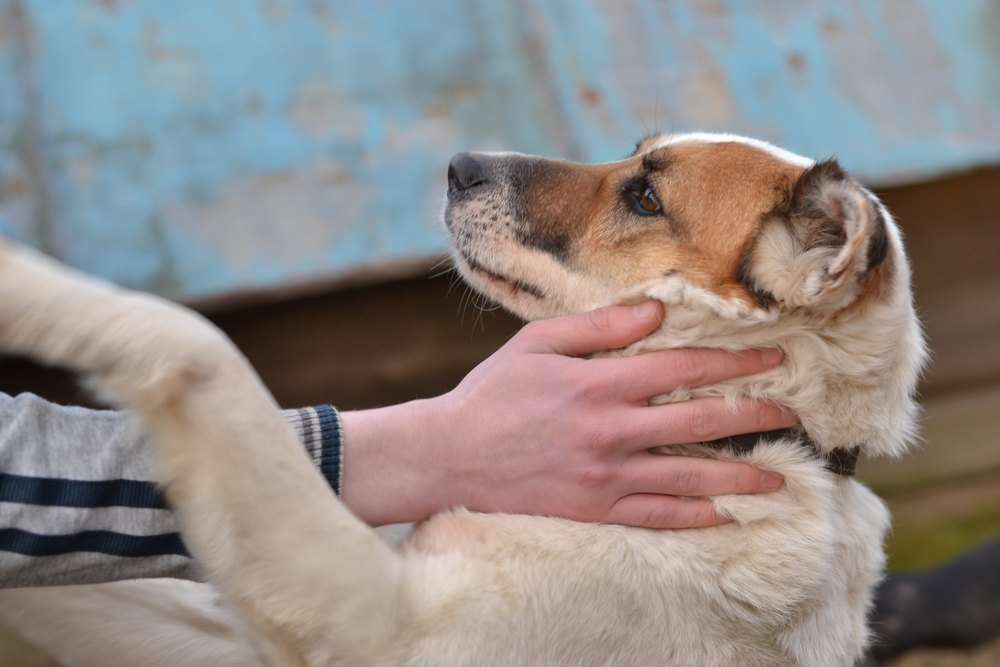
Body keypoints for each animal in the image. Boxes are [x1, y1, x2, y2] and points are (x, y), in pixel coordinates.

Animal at [0, 133, 920, 664]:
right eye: (634, 156)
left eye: (646, 197)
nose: (458, 165)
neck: (740, 442)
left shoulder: (367, 621)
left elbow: (196, 343)